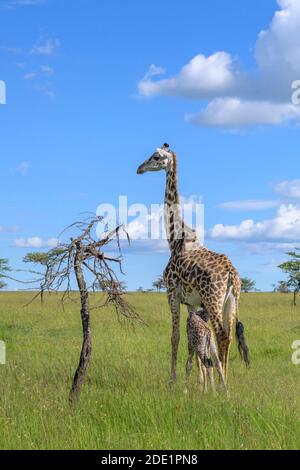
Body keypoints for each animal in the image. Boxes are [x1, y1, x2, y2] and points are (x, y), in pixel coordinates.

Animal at [137, 144, 250, 386]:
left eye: (156, 157)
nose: (139, 168)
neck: (175, 239)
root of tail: (231, 275)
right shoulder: (191, 302)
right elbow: (194, 338)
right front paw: (200, 383)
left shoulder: (171, 293)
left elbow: (175, 336)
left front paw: (172, 381)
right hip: (231, 301)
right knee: (227, 335)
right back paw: (225, 380)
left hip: (214, 299)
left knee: (221, 335)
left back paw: (223, 383)